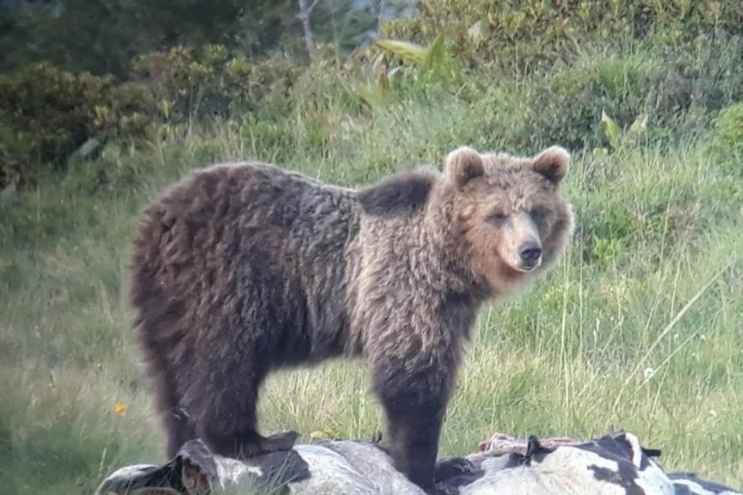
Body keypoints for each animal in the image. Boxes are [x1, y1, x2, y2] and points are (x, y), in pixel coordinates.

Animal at [129, 143, 576, 492]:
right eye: (497, 213)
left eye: (537, 210)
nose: (529, 251)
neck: (449, 263)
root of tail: (157, 217)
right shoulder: (405, 289)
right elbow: (412, 381)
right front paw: (423, 467)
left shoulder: (452, 309)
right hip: (226, 282)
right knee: (223, 362)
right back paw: (251, 440)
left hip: (166, 305)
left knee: (171, 382)